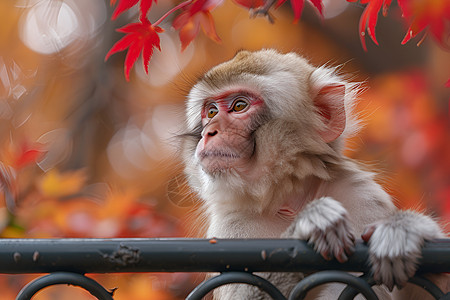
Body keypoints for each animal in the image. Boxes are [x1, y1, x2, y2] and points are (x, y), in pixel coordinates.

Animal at [178, 48, 446, 298]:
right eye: (212, 112)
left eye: (239, 106)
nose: (209, 132)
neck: (287, 199)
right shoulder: (231, 228)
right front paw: (309, 226)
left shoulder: (361, 194)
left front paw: (407, 229)